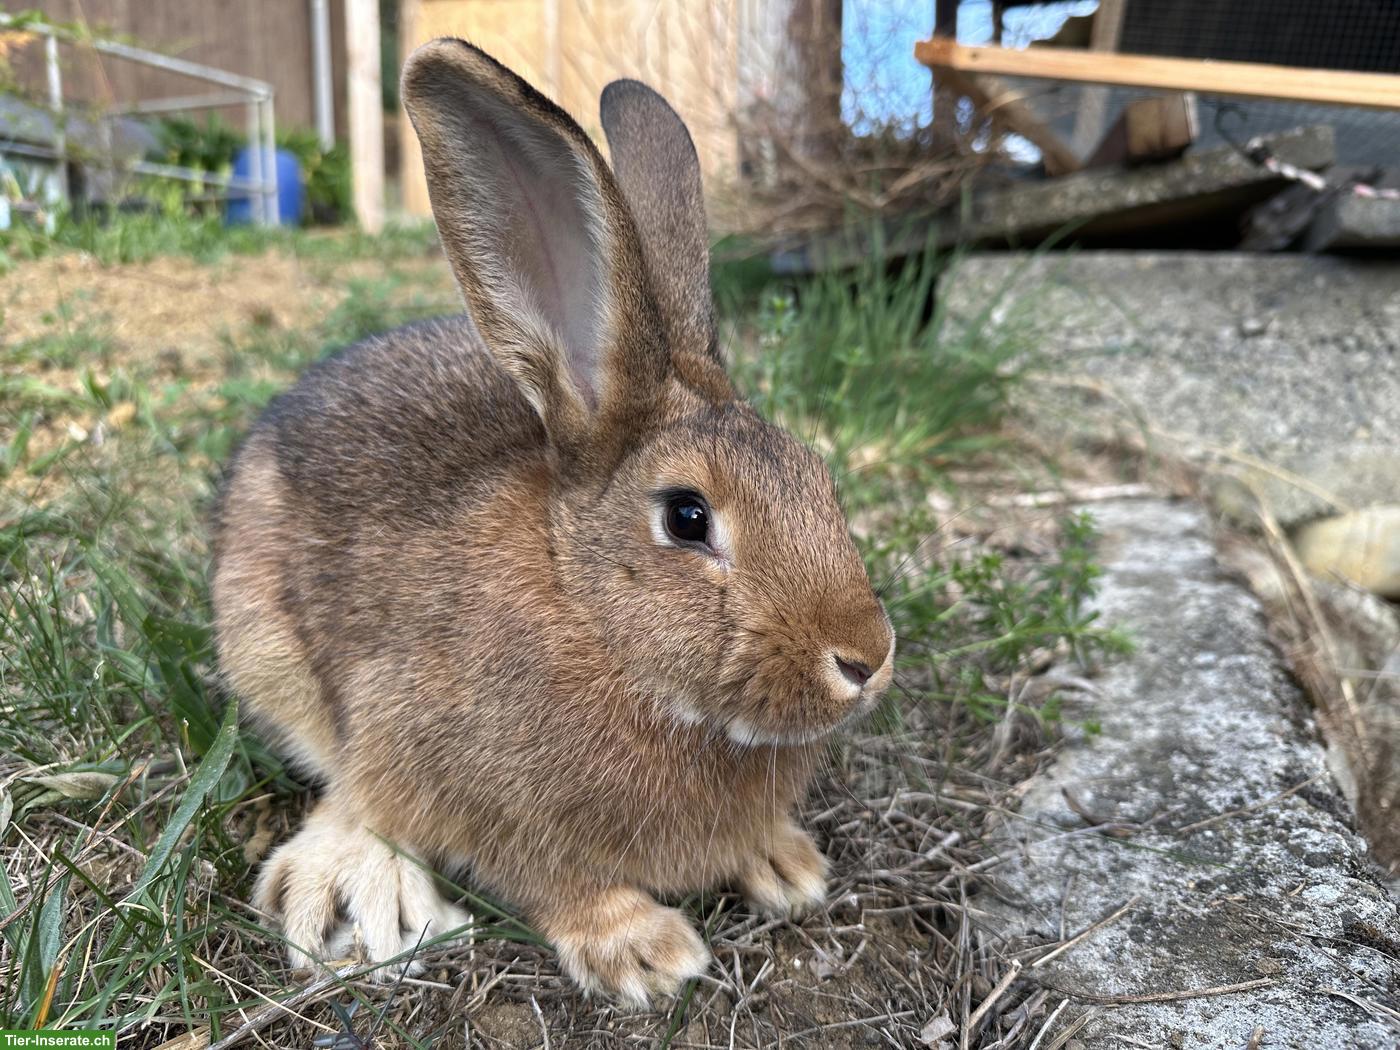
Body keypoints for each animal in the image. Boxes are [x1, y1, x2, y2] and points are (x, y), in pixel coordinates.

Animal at [210, 37, 895, 1009]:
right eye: (688, 517)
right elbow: (555, 883)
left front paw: (785, 866)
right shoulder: (482, 796)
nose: (866, 659)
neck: (590, 615)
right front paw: (646, 952)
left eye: (818, 477)